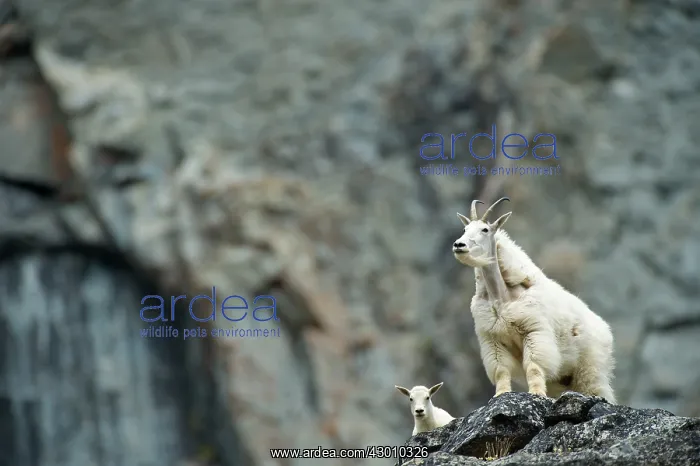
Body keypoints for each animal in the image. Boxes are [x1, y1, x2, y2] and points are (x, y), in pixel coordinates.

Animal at [452, 197, 616, 403]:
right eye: (465, 229)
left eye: (485, 230)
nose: (459, 245)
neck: (501, 296)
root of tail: (606, 330)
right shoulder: (493, 340)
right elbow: (501, 371)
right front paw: (500, 394)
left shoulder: (534, 331)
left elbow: (534, 366)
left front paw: (537, 393)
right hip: (564, 379)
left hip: (590, 368)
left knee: (595, 389)